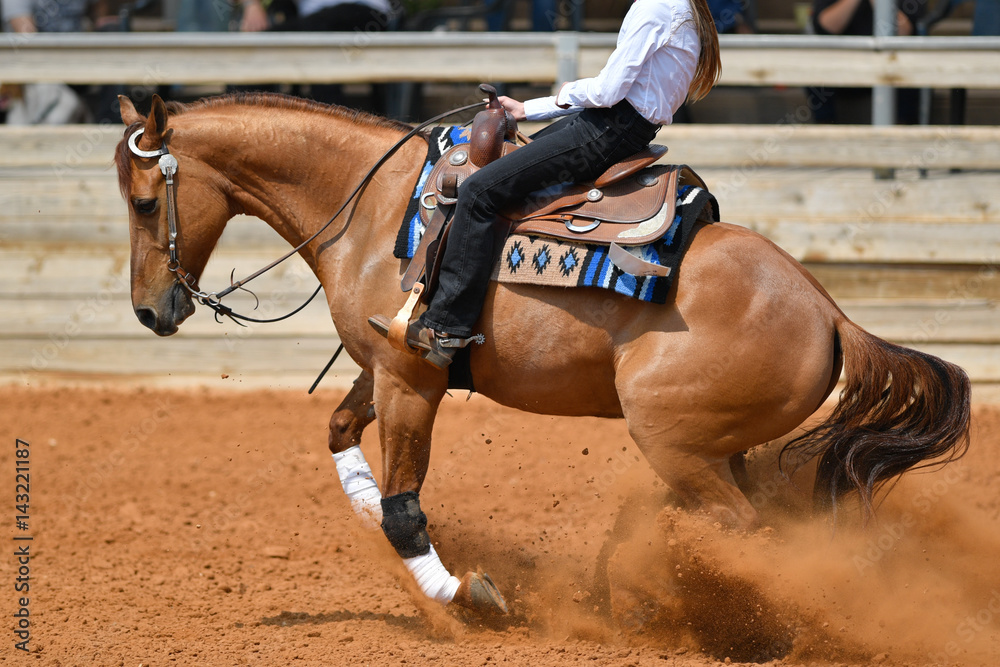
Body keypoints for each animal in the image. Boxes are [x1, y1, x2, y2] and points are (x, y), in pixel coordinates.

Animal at [115, 92, 970, 616]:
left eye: (145, 202)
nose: (150, 310)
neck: (377, 205)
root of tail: (827, 311)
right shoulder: (383, 364)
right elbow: (339, 433)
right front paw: (364, 507)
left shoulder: (411, 378)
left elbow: (405, 508)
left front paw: (465, 593)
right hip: (714, 448)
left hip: (672, 439)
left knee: (747, 531)